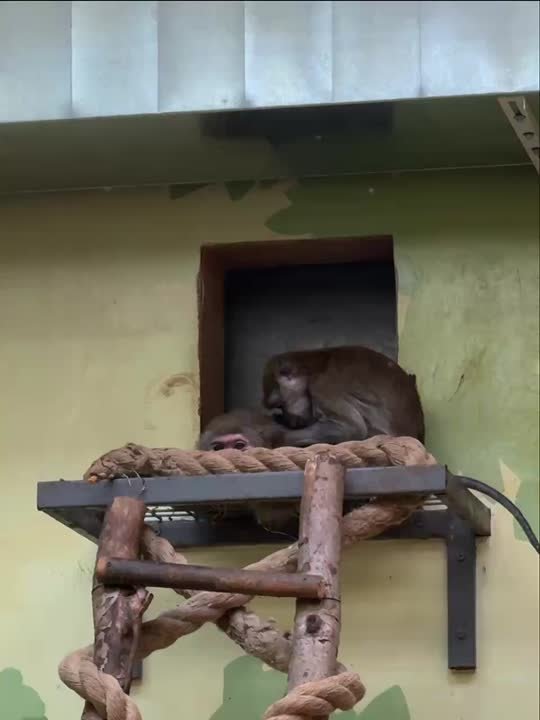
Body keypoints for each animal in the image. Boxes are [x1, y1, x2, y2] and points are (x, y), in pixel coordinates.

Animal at [262, 346, 426, 448]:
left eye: (280, 405)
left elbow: (352, 429)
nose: (286, 415)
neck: (313, 369)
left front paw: (277, 437)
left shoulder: (322, 387)